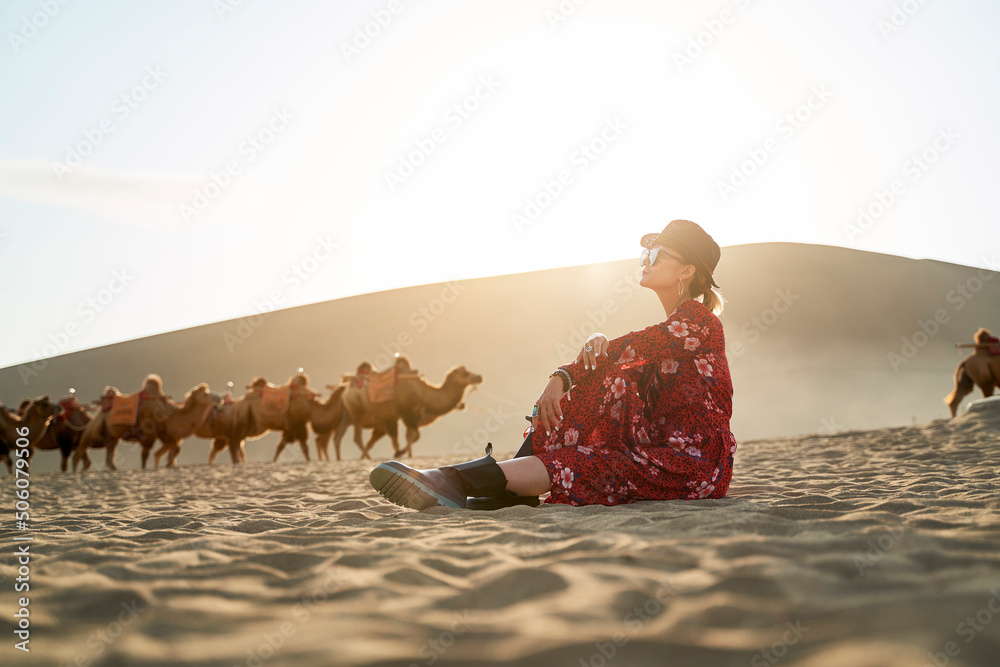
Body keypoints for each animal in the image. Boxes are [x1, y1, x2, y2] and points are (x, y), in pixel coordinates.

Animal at [73, 374, 221, 472]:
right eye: (205, 394)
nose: (219, 398)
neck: (171, 415)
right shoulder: (153, 434)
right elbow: (147, 455)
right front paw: (162, 466)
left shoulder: (164, 435)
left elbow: (172, 450)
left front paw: (168, 464)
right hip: (96, 431)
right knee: (81, 450)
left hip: (111, 436)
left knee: (108, 456)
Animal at [336, 366, 484, 460]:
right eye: (465, 373)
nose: (479, 377)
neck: (423, 393)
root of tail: (347, 388)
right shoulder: (407, 412)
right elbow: (414, 436)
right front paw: (400, 453)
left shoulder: (415, 412)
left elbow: (412, 436)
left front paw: (403, 454)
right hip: (356, 412)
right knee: (357, 437)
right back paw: (366, 457)